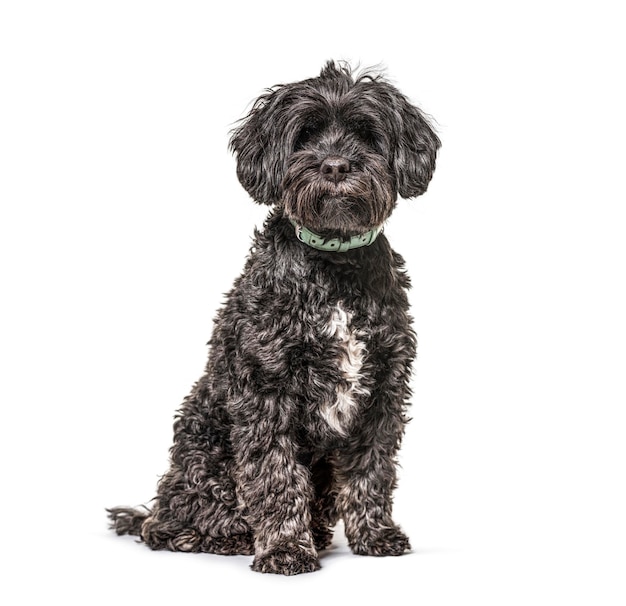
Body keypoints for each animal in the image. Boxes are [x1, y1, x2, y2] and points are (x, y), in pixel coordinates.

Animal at [107, 63, 438, 580]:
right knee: (168, 526)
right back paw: (223, 537)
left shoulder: (383, 389)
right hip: (204, 450)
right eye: (304, 135)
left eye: (366, 134)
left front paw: (375, 535)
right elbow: (274, 475)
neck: (333, 262)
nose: (336, 166)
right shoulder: (267, 388)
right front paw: (284, 549)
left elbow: (372, 470)